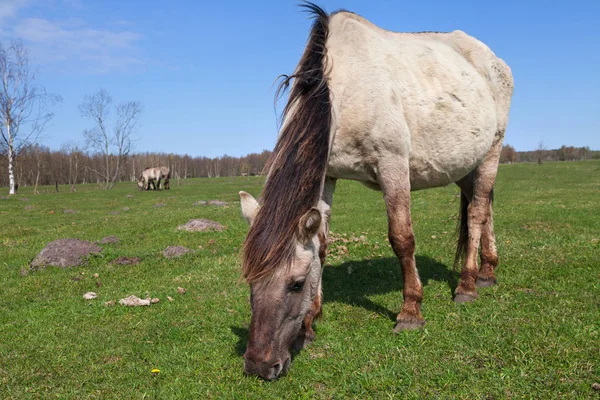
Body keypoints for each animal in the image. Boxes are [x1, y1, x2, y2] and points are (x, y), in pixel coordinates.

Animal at [237, 4, 512, 382]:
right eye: (250, 281)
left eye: (295, 283)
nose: (260, 365)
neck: (341, 91)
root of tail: (491, 58)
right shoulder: (328, 175)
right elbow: (322, 246)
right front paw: (310, 322)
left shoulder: (392, 164)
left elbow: (402, 238)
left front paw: (410, 312)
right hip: (464, 164)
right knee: (485, 209)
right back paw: (487, 272)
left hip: (491, 151)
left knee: (476, 213)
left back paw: (468, 285)